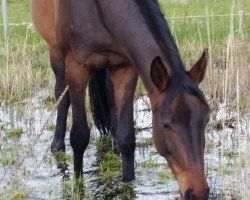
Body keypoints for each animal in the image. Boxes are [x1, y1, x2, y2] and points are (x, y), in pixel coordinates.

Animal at [31, 0, 211, 199]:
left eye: (206, 120)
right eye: (165, 124)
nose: (198, 192)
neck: (98, 9)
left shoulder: (125, 68)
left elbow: (126, 139)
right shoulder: (76, 68)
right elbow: (79, 137)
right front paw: (78, 185)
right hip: (55, 52)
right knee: (61, 95)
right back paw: (57, 145)